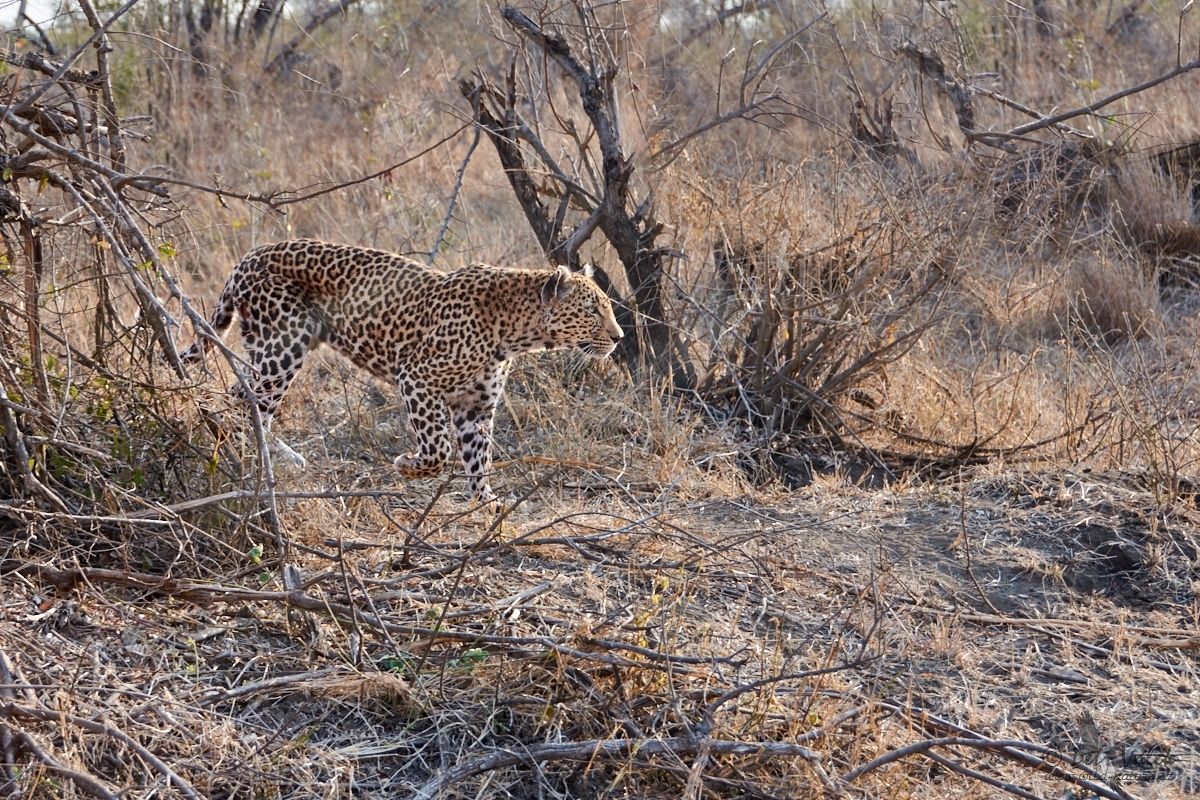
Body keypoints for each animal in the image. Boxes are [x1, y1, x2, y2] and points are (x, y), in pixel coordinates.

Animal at [184, 237, 628, 503]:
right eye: (593, 310)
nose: (620, 336)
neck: (516, 331)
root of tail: (249, 256)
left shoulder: (476, 407)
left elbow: (477, 457)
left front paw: (485, 505)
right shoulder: (417, 378)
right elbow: (438, 448)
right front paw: (407, 466)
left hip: (276, 350)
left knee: (244, 399)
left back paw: (268, 453)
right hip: (281, 347)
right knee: (246, 402)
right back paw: (252, 458)